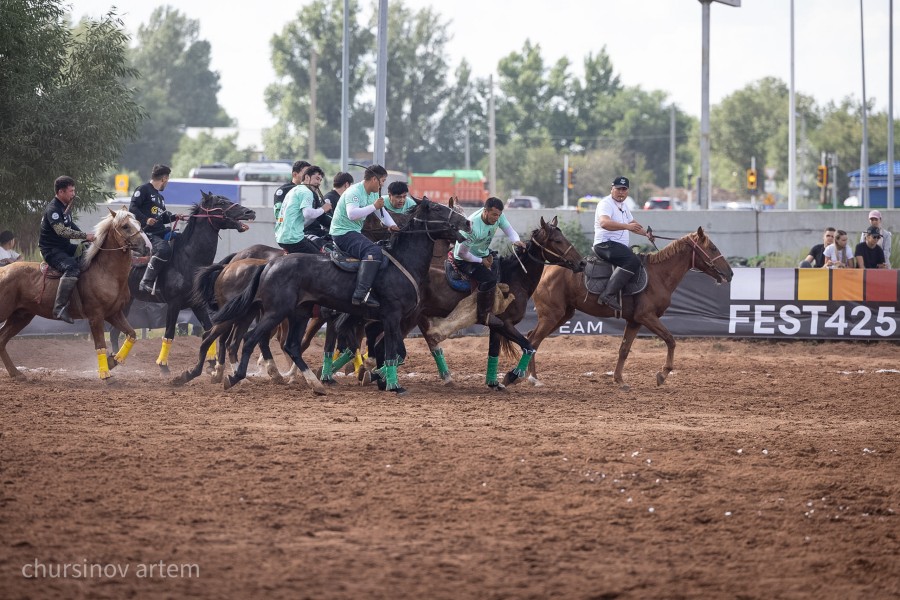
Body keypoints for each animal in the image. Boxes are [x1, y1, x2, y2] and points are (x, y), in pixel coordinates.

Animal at [0, 209, 149, 380]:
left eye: (138, 223)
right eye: (125, 226)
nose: (146, 247)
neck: (106, 272)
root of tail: (3, 271)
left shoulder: (114, 313)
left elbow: (132, 334)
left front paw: (113, 361)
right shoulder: (96, 316)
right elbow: (100, 346)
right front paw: (105, 374)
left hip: (21, 316)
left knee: (1, 340)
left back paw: (16, 373)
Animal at [110, 190, 256, 372]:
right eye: (221, 202)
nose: (250, 212)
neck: (187, 260)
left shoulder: (197, 304)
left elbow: (209, 330)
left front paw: (211, 363)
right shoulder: (174, 304)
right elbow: (169, 334)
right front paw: (163, 367)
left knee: (114, 332)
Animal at [211, 198, 472, 394]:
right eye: (438, 208)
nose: (467, 222)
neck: (402, 262)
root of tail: (268, 264)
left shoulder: (389, 319)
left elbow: (393, 351)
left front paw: (378, 377)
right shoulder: (391, 316)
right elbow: (393, 352)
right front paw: (388, 382)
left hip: (299, 313)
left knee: (292, 345)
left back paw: (314, 384)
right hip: (275, 312)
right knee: (250, 339)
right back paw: (236, 377)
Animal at [528, 227, 732, 386]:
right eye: (713, 248)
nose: (730, 273)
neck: (659, 275)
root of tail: (546, 269)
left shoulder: (635, 321)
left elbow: (624, 350)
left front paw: (619, 379)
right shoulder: (646, 316)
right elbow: (670, 340)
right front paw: (663, 374)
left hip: (563, 315)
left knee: (531, 337)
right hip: (552, 315)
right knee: (534, 341)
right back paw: (532, 378)